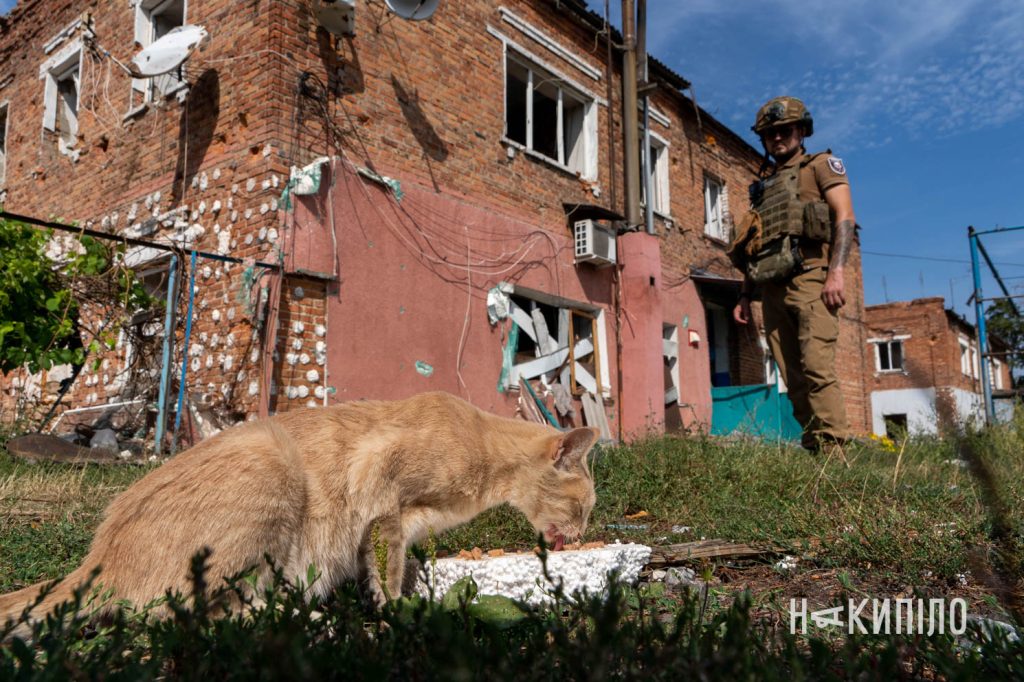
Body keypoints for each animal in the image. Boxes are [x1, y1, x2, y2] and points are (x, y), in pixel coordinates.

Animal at [0, 391, 598, 634]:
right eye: (585, 505)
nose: (582, 531)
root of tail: (94, 559)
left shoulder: (386, 528)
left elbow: (387, 566)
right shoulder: (379, 488)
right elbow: (388, 577)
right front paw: (401, 617)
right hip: (271, 462)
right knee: (182, 616)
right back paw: (308, 619)